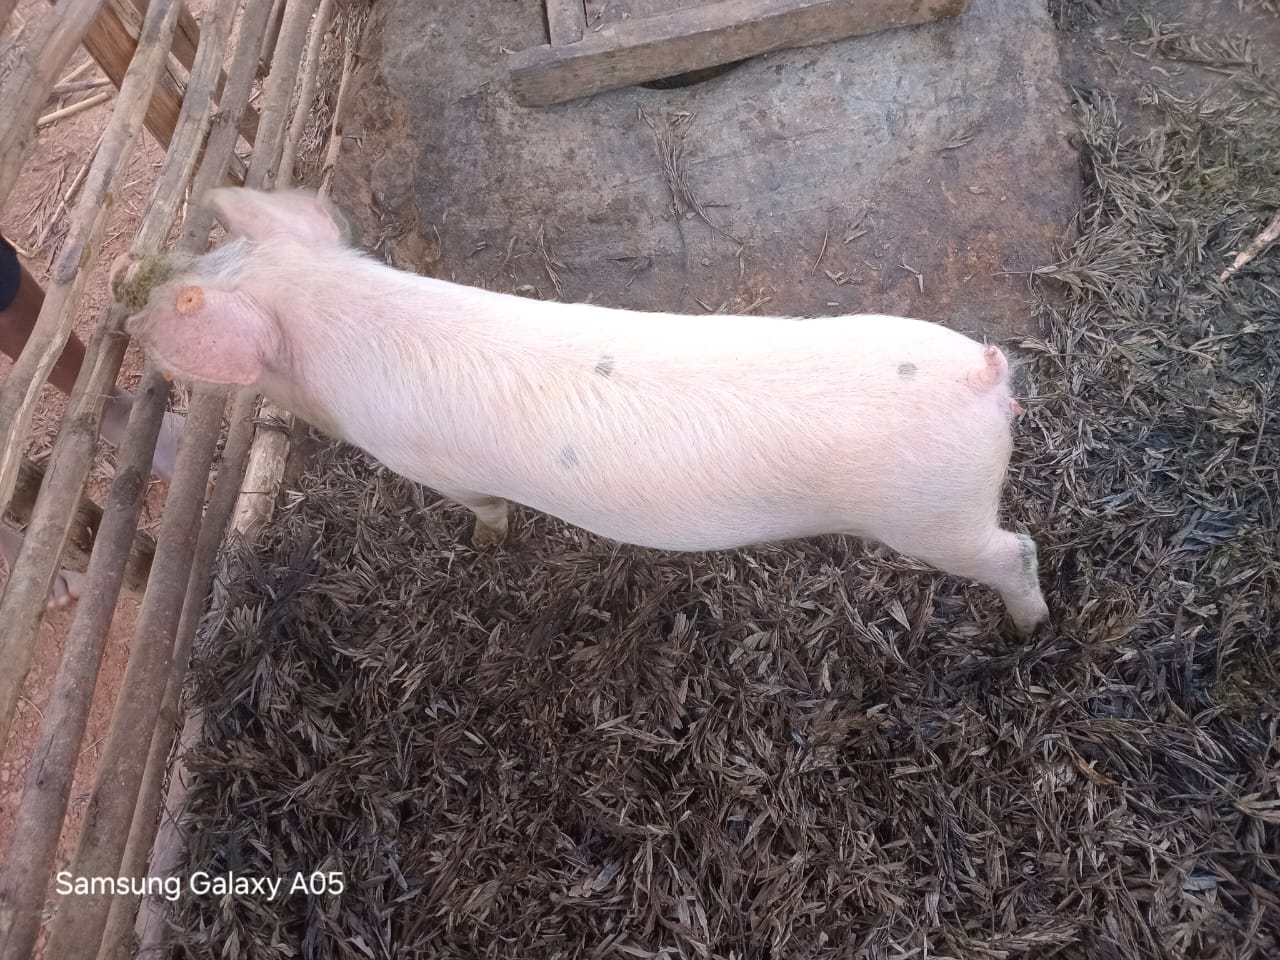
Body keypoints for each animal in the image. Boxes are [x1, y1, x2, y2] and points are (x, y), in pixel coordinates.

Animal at [115, 187, 1050, 636]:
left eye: (180, 296)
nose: (128, 308)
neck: (332, 315)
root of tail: (983, 375)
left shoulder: (429, 465)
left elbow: (484, 509)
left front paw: (483, 545)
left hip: (933, 515)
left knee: (1018, 551)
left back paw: (1027, 629)